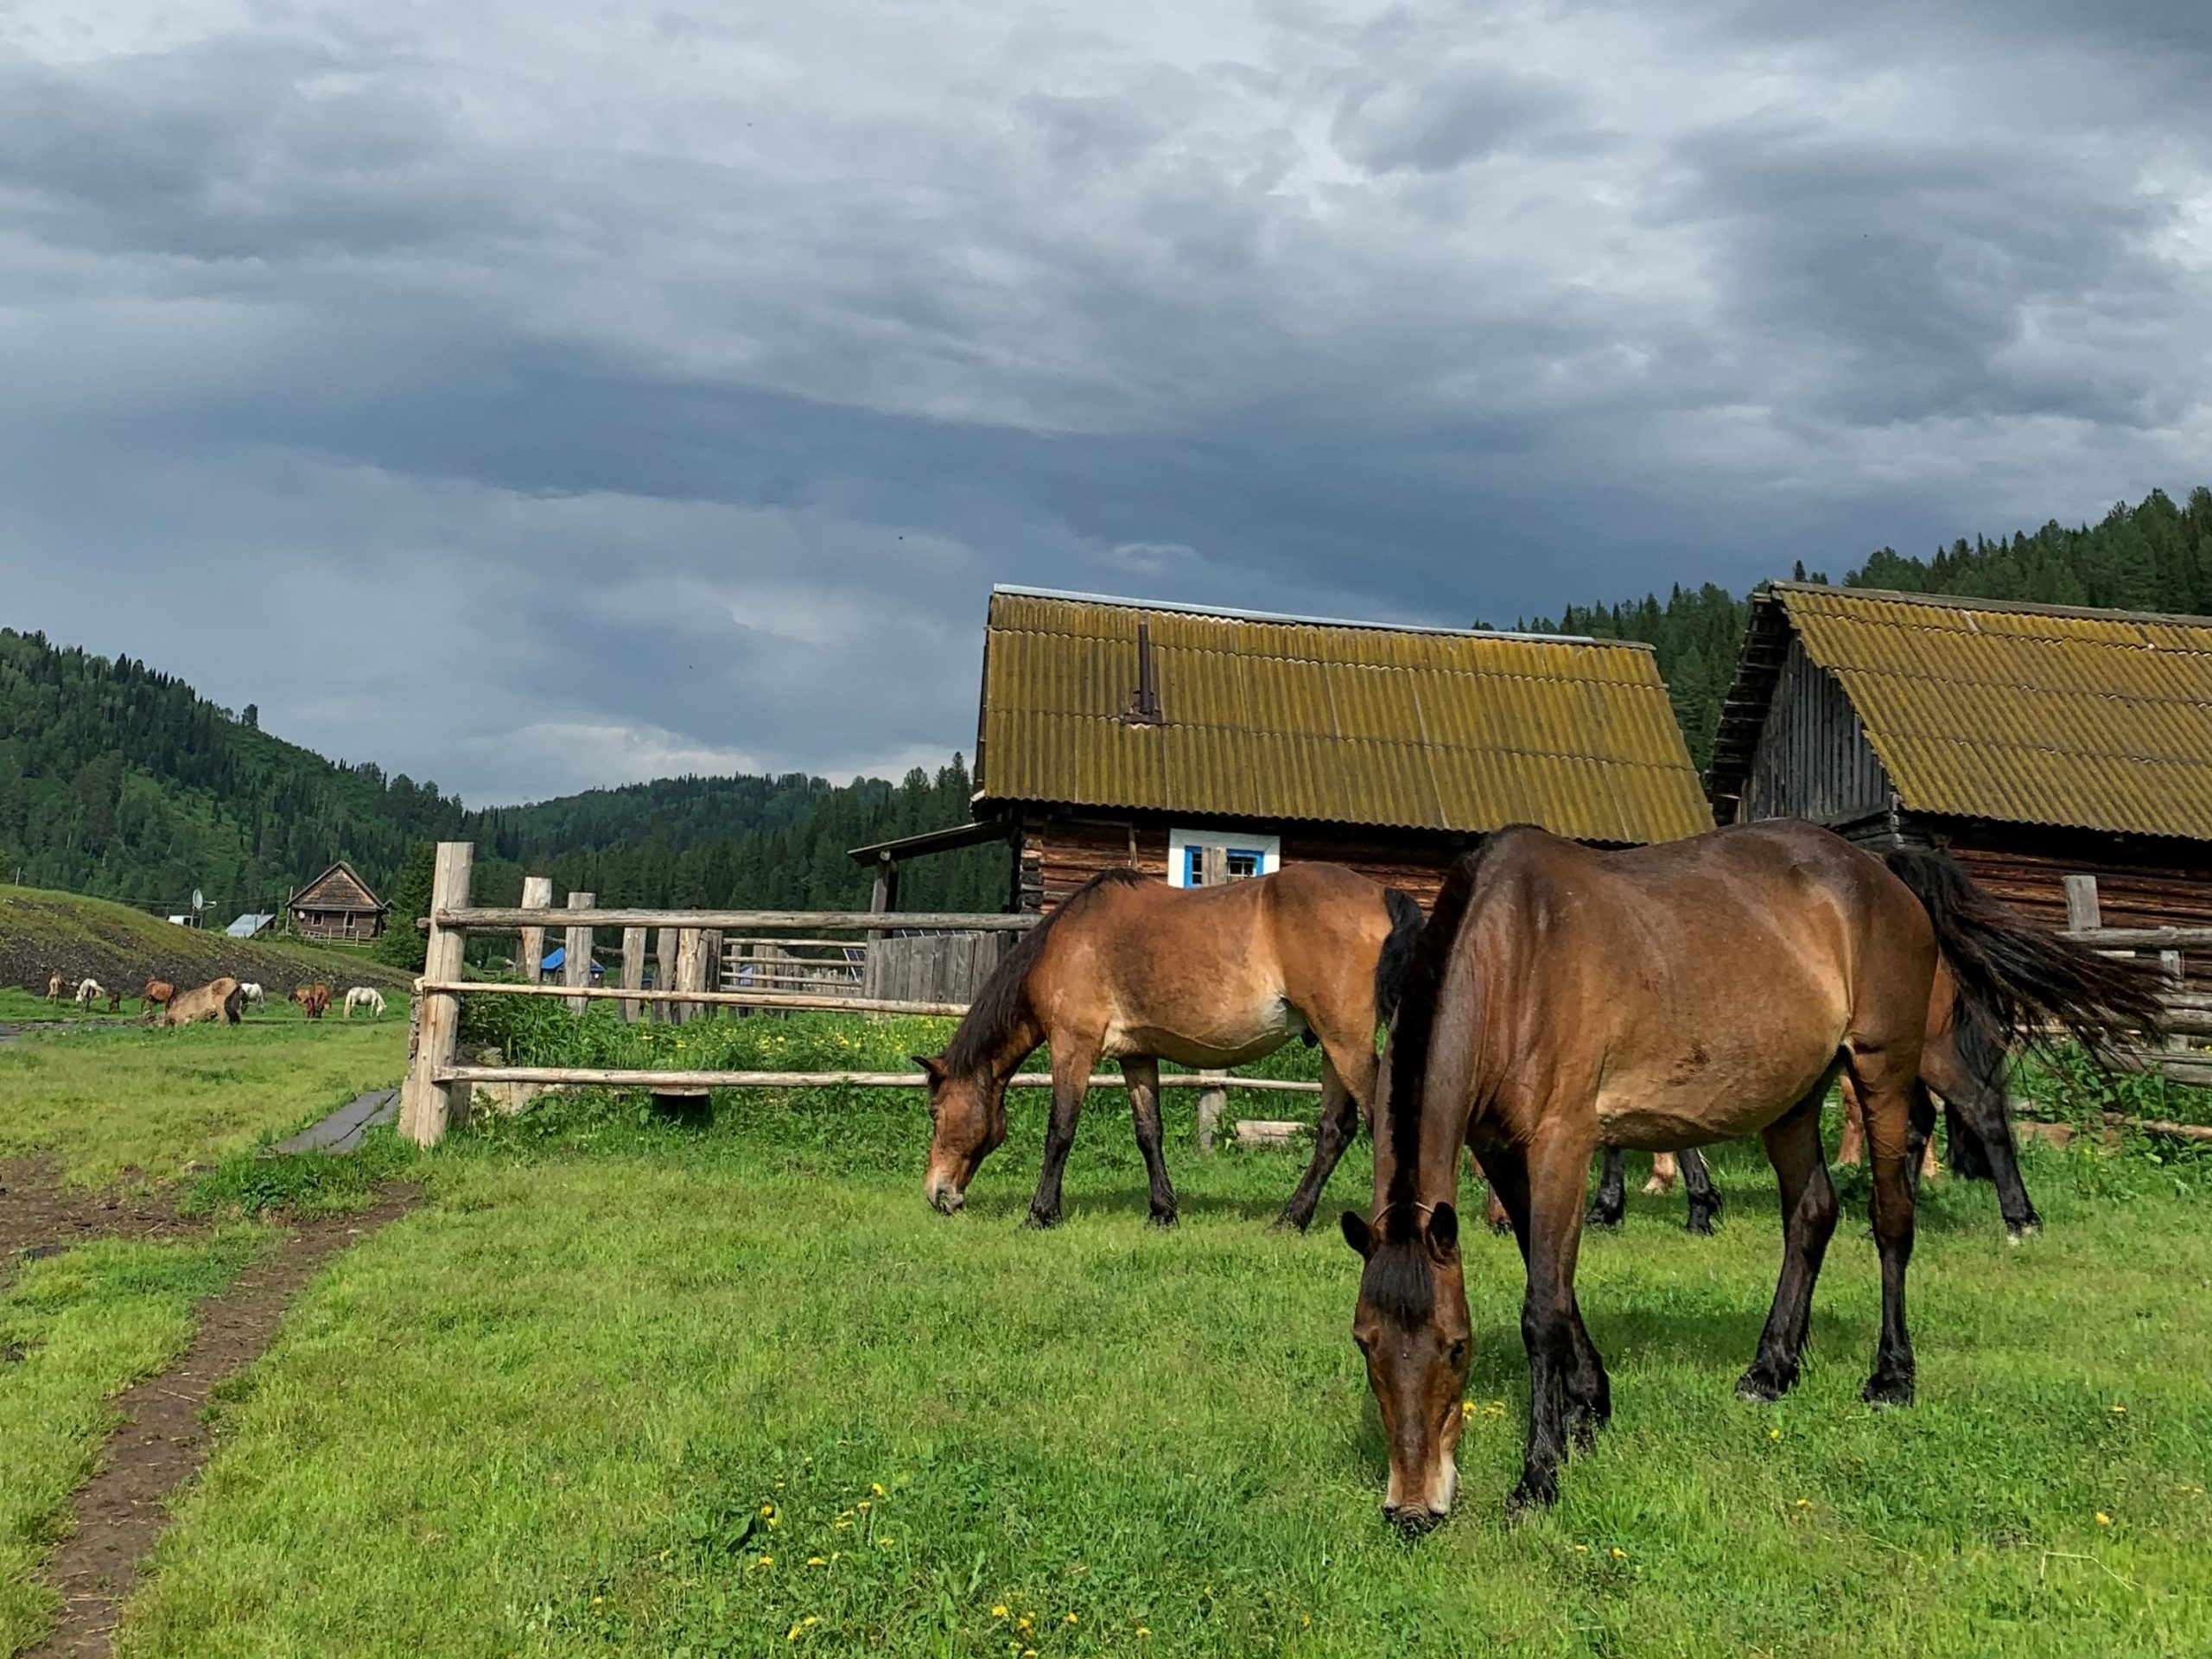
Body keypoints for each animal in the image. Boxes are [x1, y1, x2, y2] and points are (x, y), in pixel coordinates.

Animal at [911, 871, 1415, 1238]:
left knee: (1376, 1123)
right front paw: (1162, 1213)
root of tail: (1381, 893)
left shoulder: (1073, 1046)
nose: (938, 1195)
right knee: (1334, 1131)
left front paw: (1041, 1214)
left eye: (935, 1112)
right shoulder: (1136, 1057)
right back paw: (1291, 1219)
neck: (1069, 943)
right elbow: (1148, 1132)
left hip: (1345, 1041)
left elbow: (1060, 1132)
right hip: (1332, 1044)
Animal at [1336, 827, 2167, 1539]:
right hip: (1793, 1100)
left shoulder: (1563, 1142)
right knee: (1813, 1213)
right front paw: (1590, 1406)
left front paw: (1540, 1474)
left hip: (1884, 1070)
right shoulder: (1505, 1153)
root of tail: (1882, 871)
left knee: (1892, 1218)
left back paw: (1892, 1376)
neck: (1517, 953)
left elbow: (1543, 1306)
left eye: (1456, 1347)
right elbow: (1560, 1290)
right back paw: (1772, 1369)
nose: (1413, 1510)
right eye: (1364, 1343)